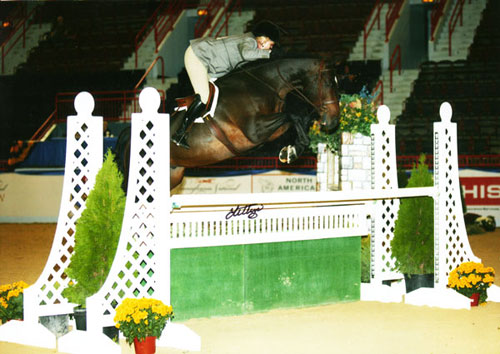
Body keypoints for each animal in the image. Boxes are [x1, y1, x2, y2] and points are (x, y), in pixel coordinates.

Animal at [114, 57, 340, 191]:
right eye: (329, 83)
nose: (333, 121)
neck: (264, 85)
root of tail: (128, 134)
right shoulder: (254, 131)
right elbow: (293, 115)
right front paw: (291, 152)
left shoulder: (269, 131)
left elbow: (297, 118)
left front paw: (292, 150)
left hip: (171, 175)